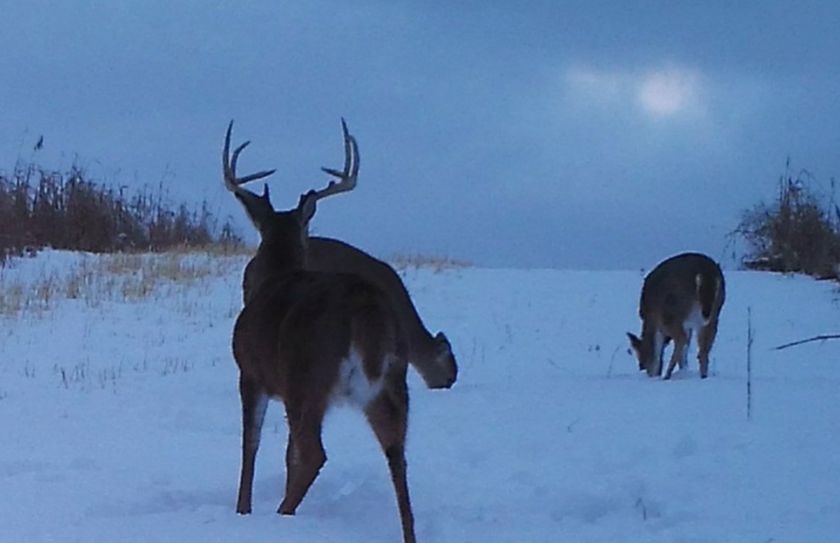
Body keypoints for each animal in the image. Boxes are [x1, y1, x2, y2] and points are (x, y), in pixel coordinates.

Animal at [226, 120, 416, 543]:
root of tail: (364, 309)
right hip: (392, 380)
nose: (246, 273)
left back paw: (283, 515)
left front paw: (242, 509)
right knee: (397, 453)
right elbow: (286, 454)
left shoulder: (251, 372)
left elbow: (251, 444)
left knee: (315, 453)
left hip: (308, 373)